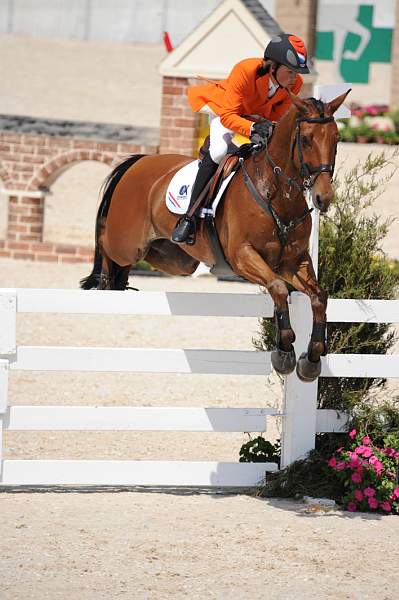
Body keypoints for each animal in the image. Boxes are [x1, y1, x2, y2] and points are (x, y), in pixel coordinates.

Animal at [80, 91, 350, 382]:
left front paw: (311, 358)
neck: (278, 195)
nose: (323, 198)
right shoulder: (243, 256)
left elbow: (319, 297)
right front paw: (284, 352)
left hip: (174, 258)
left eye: (336, 138)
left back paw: (119, 280)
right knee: (105, 240)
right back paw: (103, 280)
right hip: (128, 244)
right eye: (306, 139)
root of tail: (139, 161)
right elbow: (278, 288)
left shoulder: (293, 261)